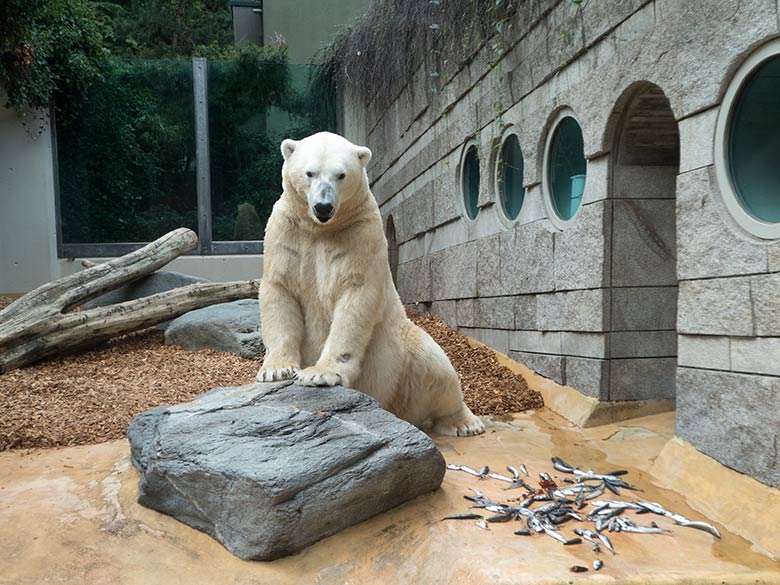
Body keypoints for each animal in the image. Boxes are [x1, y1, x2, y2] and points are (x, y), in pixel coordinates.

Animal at [258, 131, 484, 434]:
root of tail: (394, 407)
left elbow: (356, 295)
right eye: (309, 173)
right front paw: (276, 369)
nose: (323, 207)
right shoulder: (287, 230)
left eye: (341, 175)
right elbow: (279, 289)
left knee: (436, 366)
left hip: (404, 355)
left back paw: (464, 423)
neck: (321, 228)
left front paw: (320, 373)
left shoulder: (360, 232)